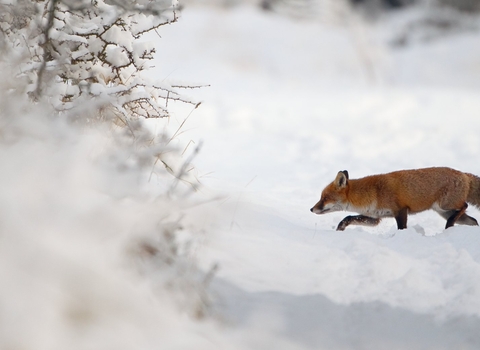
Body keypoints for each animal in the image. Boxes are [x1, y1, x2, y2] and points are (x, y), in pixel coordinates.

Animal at [312, 167, 480, 231]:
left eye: (325, 198)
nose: (311, 209)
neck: (372, 192)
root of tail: (464, 174)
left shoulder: (400, 210)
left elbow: (402, 228)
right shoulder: (375, 218)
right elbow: (348, 217)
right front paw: (340, 228)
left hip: (446, 206)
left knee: (465, 205)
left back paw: (449, 224)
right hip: (446, 212)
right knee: (474, 220)